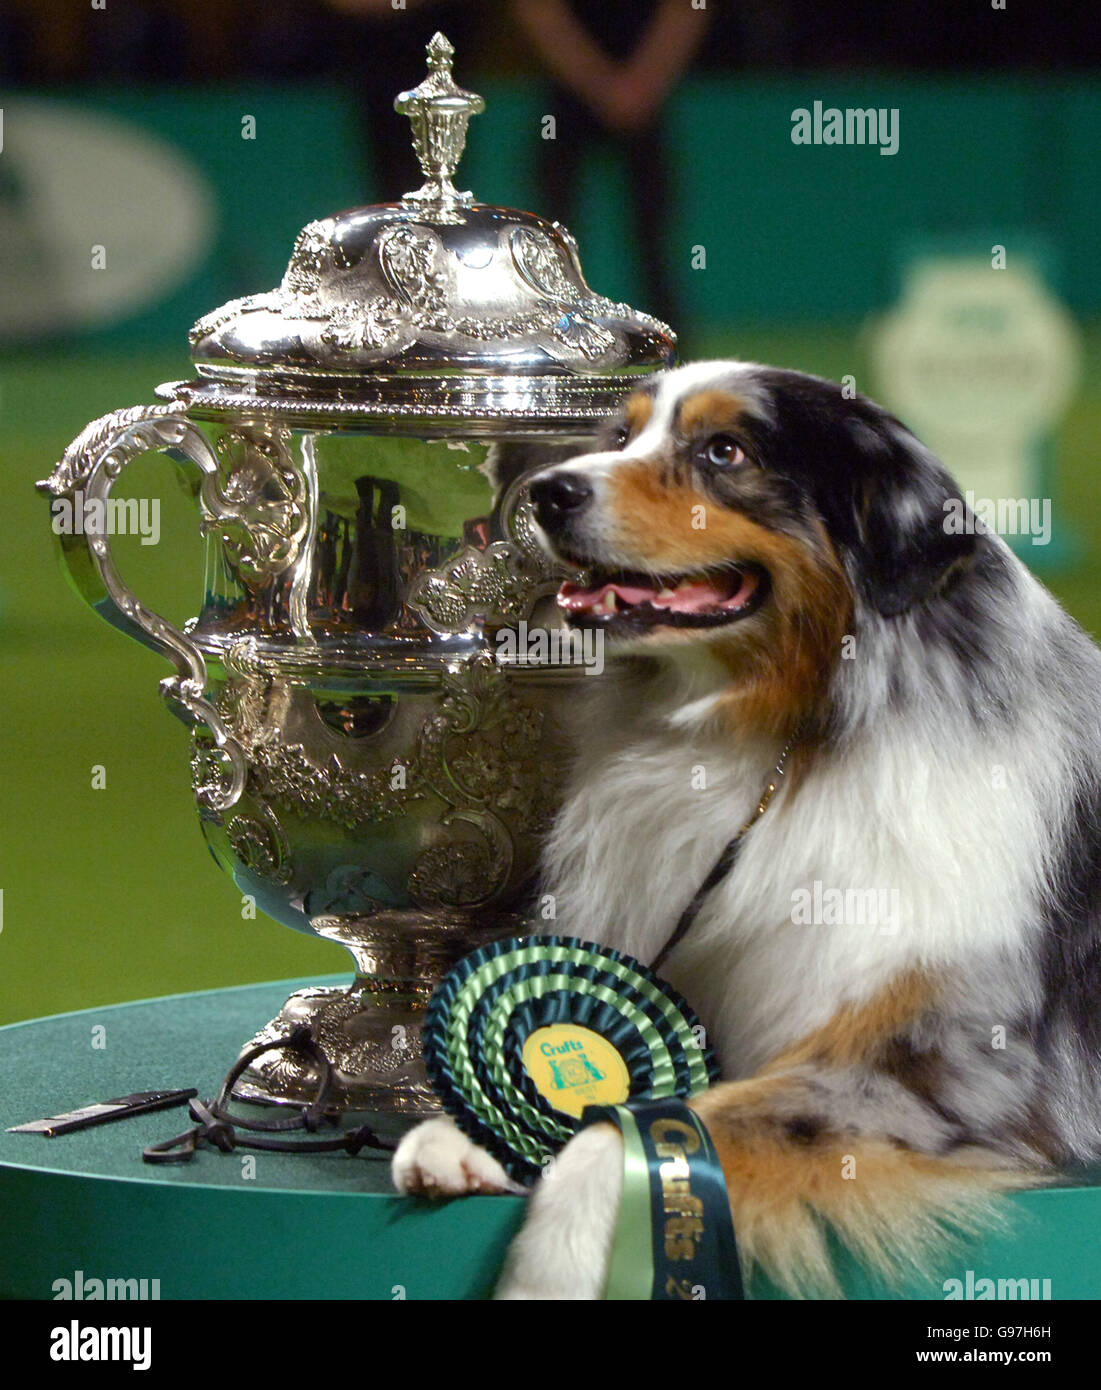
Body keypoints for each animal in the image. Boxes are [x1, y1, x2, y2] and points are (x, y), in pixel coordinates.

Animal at [392, 364, 1095, 1295]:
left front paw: (550, 1266)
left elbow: (637, 1132)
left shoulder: (938, 1061)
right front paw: (466, 1131)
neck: (781, 744)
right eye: (622, 436)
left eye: (724, 451)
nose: (548, 491)